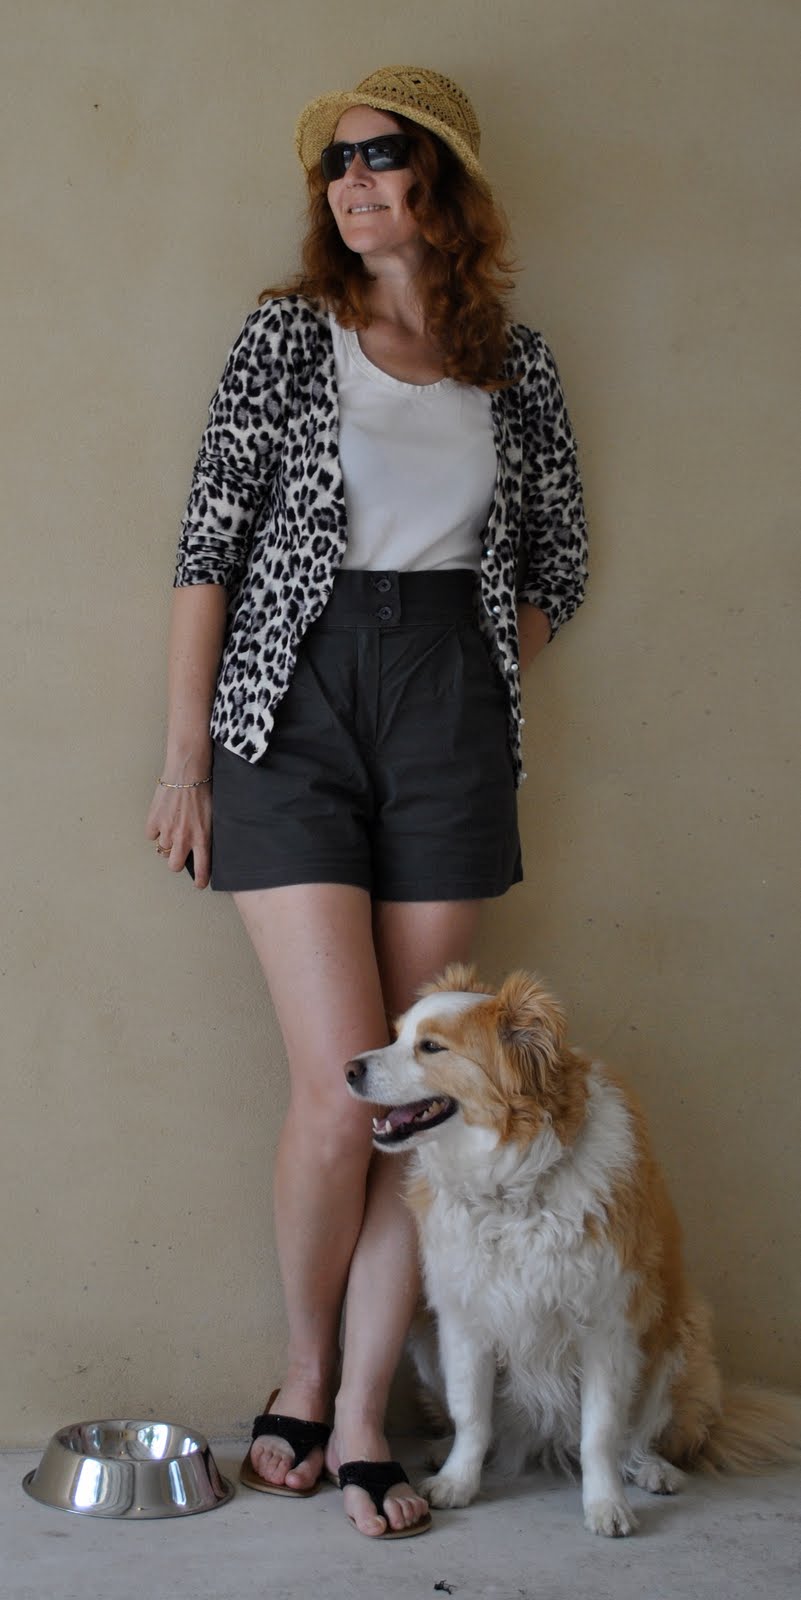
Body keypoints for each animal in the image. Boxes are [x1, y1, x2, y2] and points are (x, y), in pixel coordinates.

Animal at [345, 965, 801, 1536]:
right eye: (396, 1034)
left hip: (682, 1337)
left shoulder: (605, 1325)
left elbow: (601, 1433)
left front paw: (605, 1505)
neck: (513, 1190)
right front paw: (458, 1481)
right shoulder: (464, 1318)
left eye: (431, 1046)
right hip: (425, 1341)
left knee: (640, 1436)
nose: (348, 1069)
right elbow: (472, 1415)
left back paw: (653, 1469)